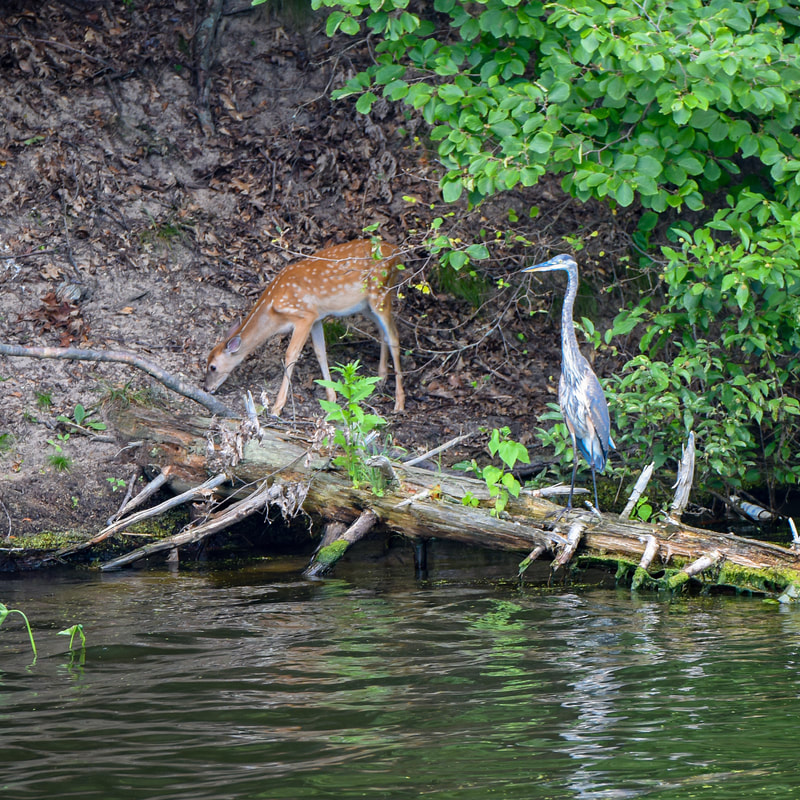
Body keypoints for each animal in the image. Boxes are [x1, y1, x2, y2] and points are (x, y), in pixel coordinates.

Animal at [204, 239, 405, 417]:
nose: (206, 388)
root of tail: (397, 252)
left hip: (379, 292)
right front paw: (331, 397)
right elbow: (320, 351)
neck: (274, 310)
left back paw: (399, 403)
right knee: (382, 330)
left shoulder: (304, 316)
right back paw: (381, 376)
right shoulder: (316, 317)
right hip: (365, 304)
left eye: (212, 367)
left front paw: (277, 408)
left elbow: (291, 354)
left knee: (395, 335)